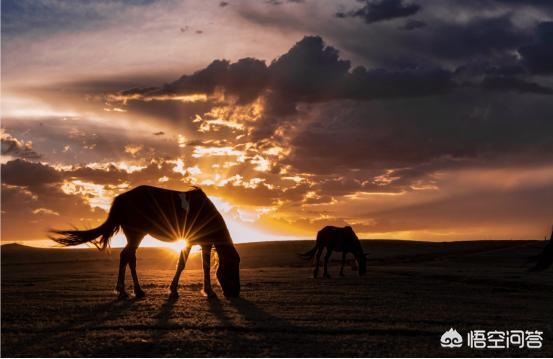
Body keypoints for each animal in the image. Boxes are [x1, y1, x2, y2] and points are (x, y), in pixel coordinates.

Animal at [51, 184, 239, 300]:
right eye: (233, 266)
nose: (235, 293)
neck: (205, 212)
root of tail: (122, 198)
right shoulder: (194, 241)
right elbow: (184, 264)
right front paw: (177, 291)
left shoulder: (202, 242)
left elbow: (203, 265)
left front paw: (206, 291)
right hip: (136, 234)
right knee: (126, 256)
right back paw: (124, 291)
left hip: (134, 236)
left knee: (129, 258)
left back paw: (136, 291)